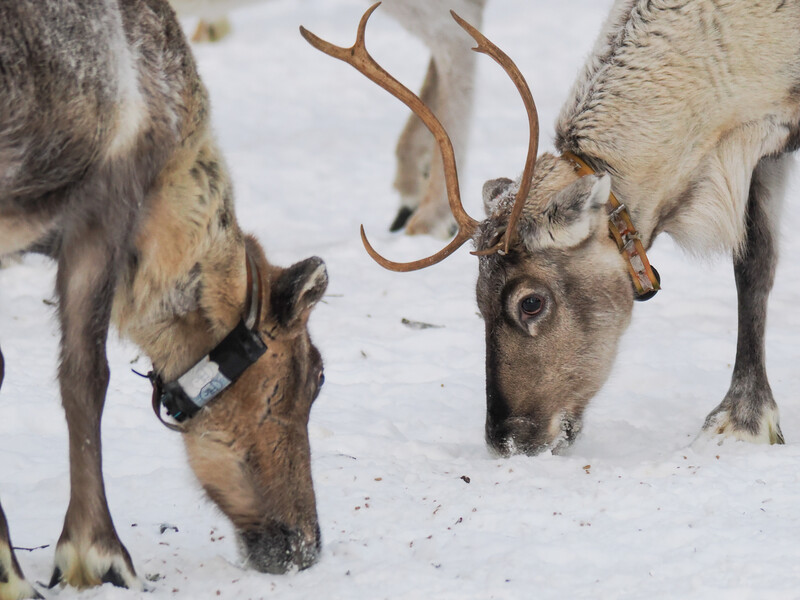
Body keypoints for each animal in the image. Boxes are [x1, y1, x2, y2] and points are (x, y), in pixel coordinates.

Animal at [303, 0, 800, 457]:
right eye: (477, 302)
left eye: (531, 302)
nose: (504, 442)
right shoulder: (759, 147)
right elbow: (753, 267)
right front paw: (748, 418)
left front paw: (742, 420)